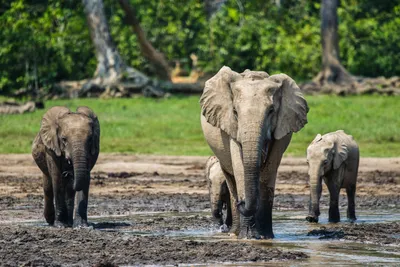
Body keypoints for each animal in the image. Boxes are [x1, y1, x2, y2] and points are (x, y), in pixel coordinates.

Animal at [200, 66, 310, 239]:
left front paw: (265, 237)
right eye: (235, 112)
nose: (242, 202)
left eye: (271, 111)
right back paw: (235, 232)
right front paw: (248, 237)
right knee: (231, 178)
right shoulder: (230, 127)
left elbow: (269, 171)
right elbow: (240, 167)